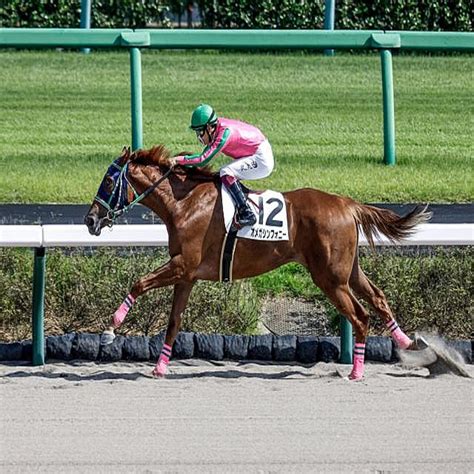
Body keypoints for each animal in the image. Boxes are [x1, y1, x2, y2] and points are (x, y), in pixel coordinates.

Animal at [84, 146, 430, 380]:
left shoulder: (182, 265)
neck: (184, 203)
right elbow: (173, 322)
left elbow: (138, 283)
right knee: (378, 298)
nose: (90, 220)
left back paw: (357, 371)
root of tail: (347, 204)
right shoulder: (187, 275)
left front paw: (110, 329)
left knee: (359, 316)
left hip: (330, 278)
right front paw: (159, 366)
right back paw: (407, 341)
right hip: (348, 270)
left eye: (109, 181)